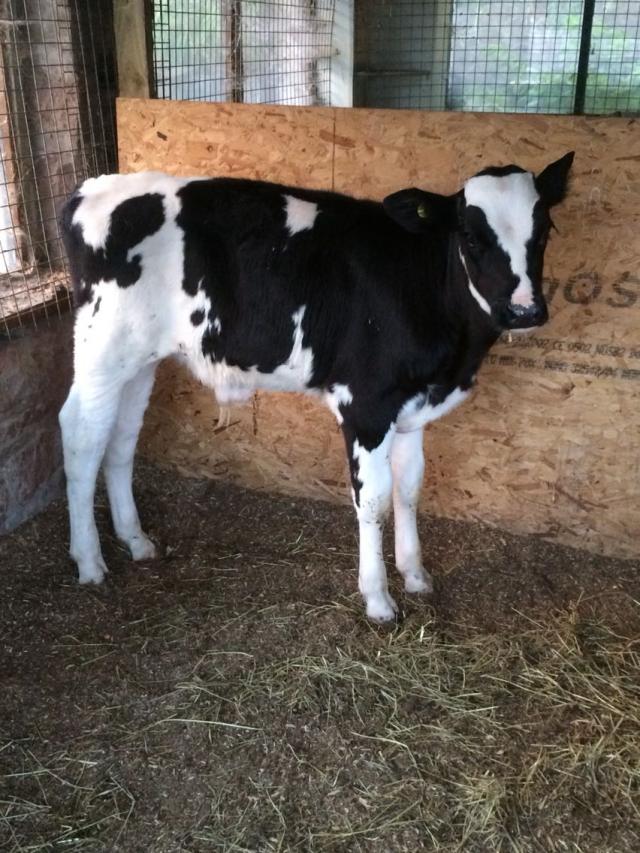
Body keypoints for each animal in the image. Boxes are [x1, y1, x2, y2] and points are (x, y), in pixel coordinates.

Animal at [59, 152, 574, 622]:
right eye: (470, 235)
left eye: (545, 230)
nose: (524, 310)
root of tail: (93, 187)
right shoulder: (365, 405)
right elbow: (373, 500)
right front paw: (378, 598)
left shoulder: (411, 405)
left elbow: (409, 488)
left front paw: (415, 574)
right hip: (101, 347)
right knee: (82, 435)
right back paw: (89, 561)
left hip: (139, 360)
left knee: (121, 439)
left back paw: (136, 540)